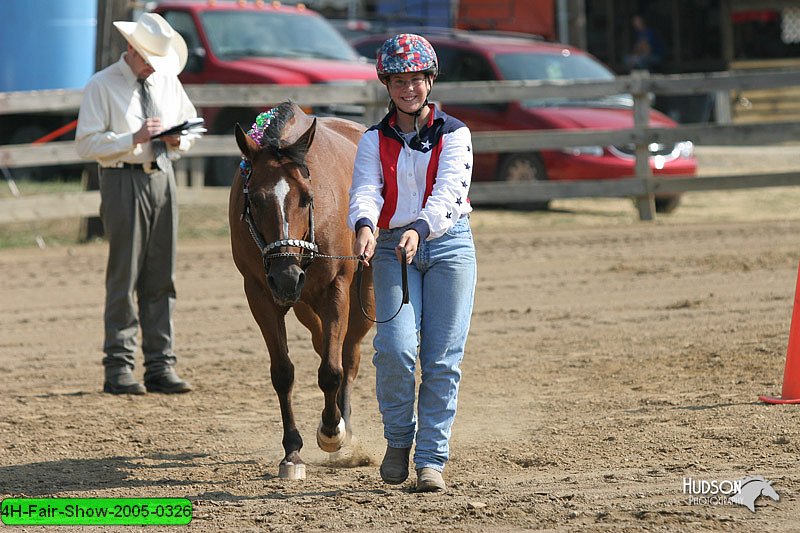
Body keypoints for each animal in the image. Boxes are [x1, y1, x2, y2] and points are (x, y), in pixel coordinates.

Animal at [227, 101, 374, 478]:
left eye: (307, 198)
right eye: (255, 199)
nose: (287, 276)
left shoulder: (337, 290)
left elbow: (333, 371)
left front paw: (332, 432)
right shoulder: (260, 295)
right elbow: (283, 373)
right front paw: (292, 451)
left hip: (365, 297)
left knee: (348, 356)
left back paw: (343, 425)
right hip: (306, 306)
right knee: (324, 344)